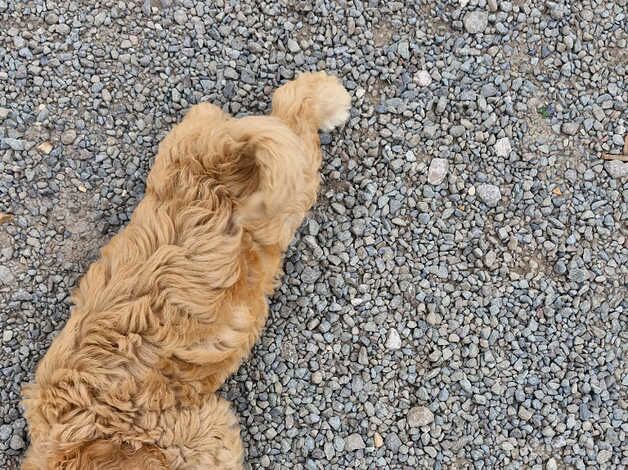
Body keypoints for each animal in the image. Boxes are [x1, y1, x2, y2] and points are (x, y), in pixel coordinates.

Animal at [19, 70, 350, 470]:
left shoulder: (197, 435)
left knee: (297, 114)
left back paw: (330, 101)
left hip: (289, 192)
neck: (86, 426)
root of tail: (219, 155)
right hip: (210, 144)